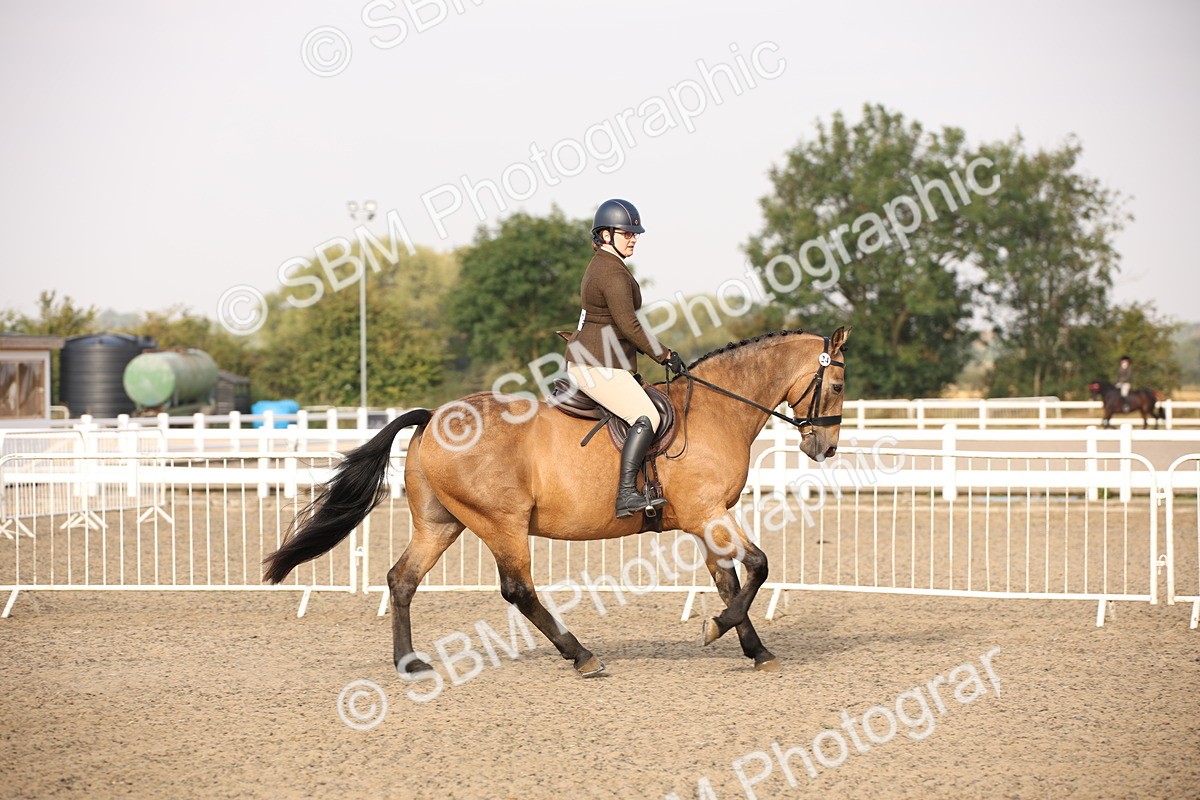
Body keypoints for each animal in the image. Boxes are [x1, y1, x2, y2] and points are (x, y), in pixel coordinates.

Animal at [263, 327, 850, 676]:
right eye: (840, 383)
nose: (824, 447)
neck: (713, 411)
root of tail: (433, 418)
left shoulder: (706, 520)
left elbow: (732, 581)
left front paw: (754, 648)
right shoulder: (708, 514)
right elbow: (759, 566)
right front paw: (717, 629)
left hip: (441, 523)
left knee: (402, 579)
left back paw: (409, 662)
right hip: (501, 522)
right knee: (518, 590)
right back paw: (582, 655)